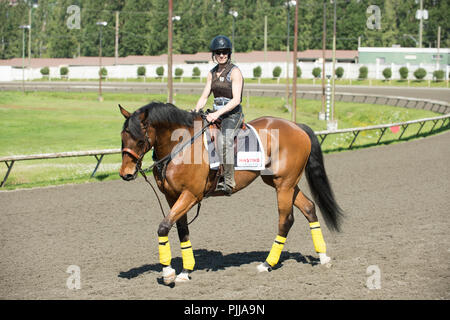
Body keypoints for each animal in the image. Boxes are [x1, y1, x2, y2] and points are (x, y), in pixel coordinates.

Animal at [118, 101, 342, 284]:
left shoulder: (191, 195)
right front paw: (185, 271)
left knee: (285, 221)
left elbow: (164, 227)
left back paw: (267, 263)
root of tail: (297, 126)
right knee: (309, 208)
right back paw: (323, 257)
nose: (125, 174)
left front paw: (168, 273)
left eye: (140, 140)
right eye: (122, 138)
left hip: (284, 185)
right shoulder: (172, 197)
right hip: (282, 183)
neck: (180, 146)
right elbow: (182, 231)